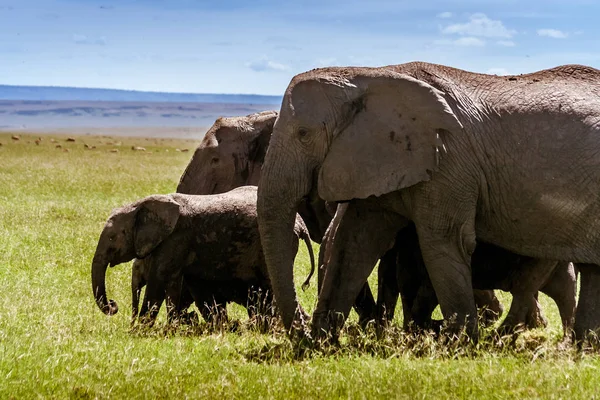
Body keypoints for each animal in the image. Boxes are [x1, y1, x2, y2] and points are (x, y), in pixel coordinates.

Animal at [91, 185, 316, 328]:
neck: (141, 204)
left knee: (269, 286)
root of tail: (301, 224)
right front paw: (174, 326)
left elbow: (158, 281)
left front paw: (141, 330)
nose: (113, 305)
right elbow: (175, 282)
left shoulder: (175, 238)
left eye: (112, 237)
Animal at [255, 61, 600, 342]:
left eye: (303, 133)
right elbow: (353, 242)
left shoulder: (448, 162)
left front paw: (459, 346)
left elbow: (444, 240)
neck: (368, 75)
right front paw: (322, 345)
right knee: (592, 270)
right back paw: (581, 349)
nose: (300, 330)